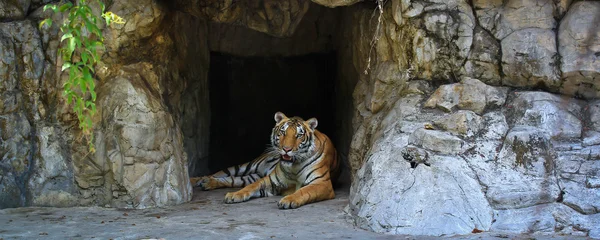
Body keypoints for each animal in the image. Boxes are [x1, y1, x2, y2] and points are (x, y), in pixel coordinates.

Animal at [190, 111, 340, 209]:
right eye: (283, 132)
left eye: (298, 135)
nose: (286, 149)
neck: (294, 166)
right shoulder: (271, 180)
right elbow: (251, 186)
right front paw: (234, 195)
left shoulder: (322, 183)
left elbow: (303, 191)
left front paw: (288, 200)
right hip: (247, 166)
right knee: (218, 174)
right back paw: (197, 181)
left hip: (249, 176)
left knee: (231, 180)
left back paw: (207, 183)